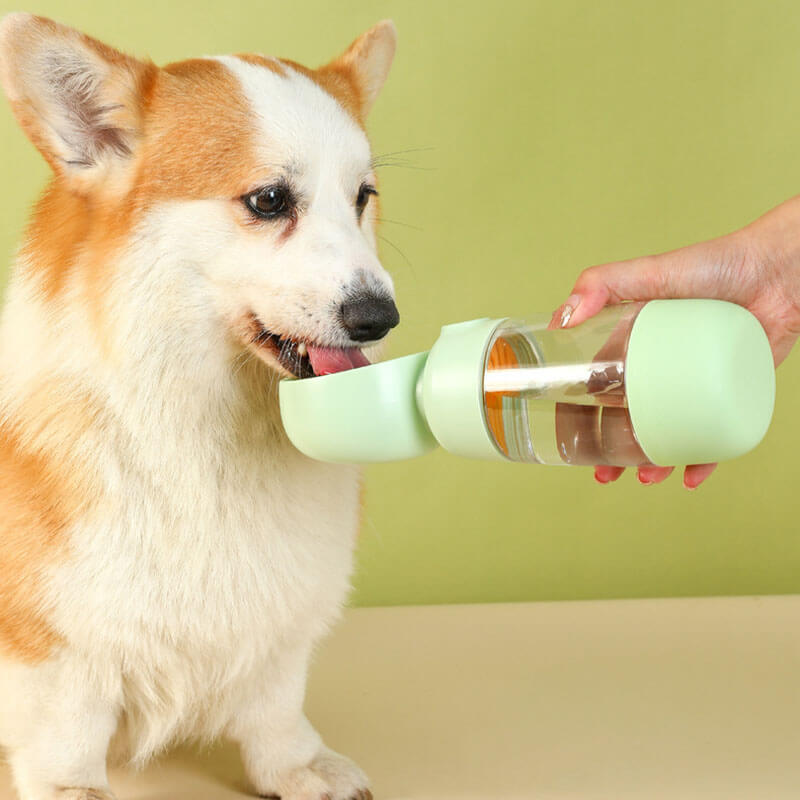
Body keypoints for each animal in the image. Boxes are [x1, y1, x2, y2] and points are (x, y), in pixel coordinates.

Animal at [0, 12, 398, 800]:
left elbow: (275, 706)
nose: (380, 317)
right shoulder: (51, 640)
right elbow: (68, 730)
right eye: (269, 201)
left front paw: (298, 768)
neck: (210, 432)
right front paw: (73, 789)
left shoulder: (280, 620)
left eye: (362, 196)